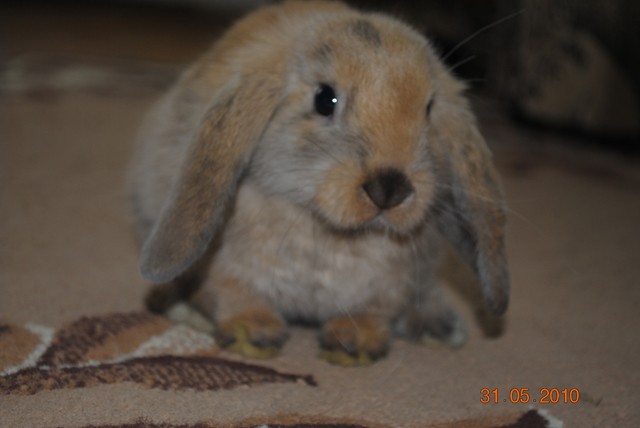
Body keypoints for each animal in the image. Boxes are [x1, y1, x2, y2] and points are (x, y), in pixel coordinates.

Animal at [128, 0, 509, 366]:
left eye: (428, 109)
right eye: (325, 99)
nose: (390, 188)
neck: (328, 232)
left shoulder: (390, 287)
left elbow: (374, 312)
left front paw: (355, 344)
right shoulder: (225, 269)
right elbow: (235, 293)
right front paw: (253, 334)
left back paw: (437, 326)